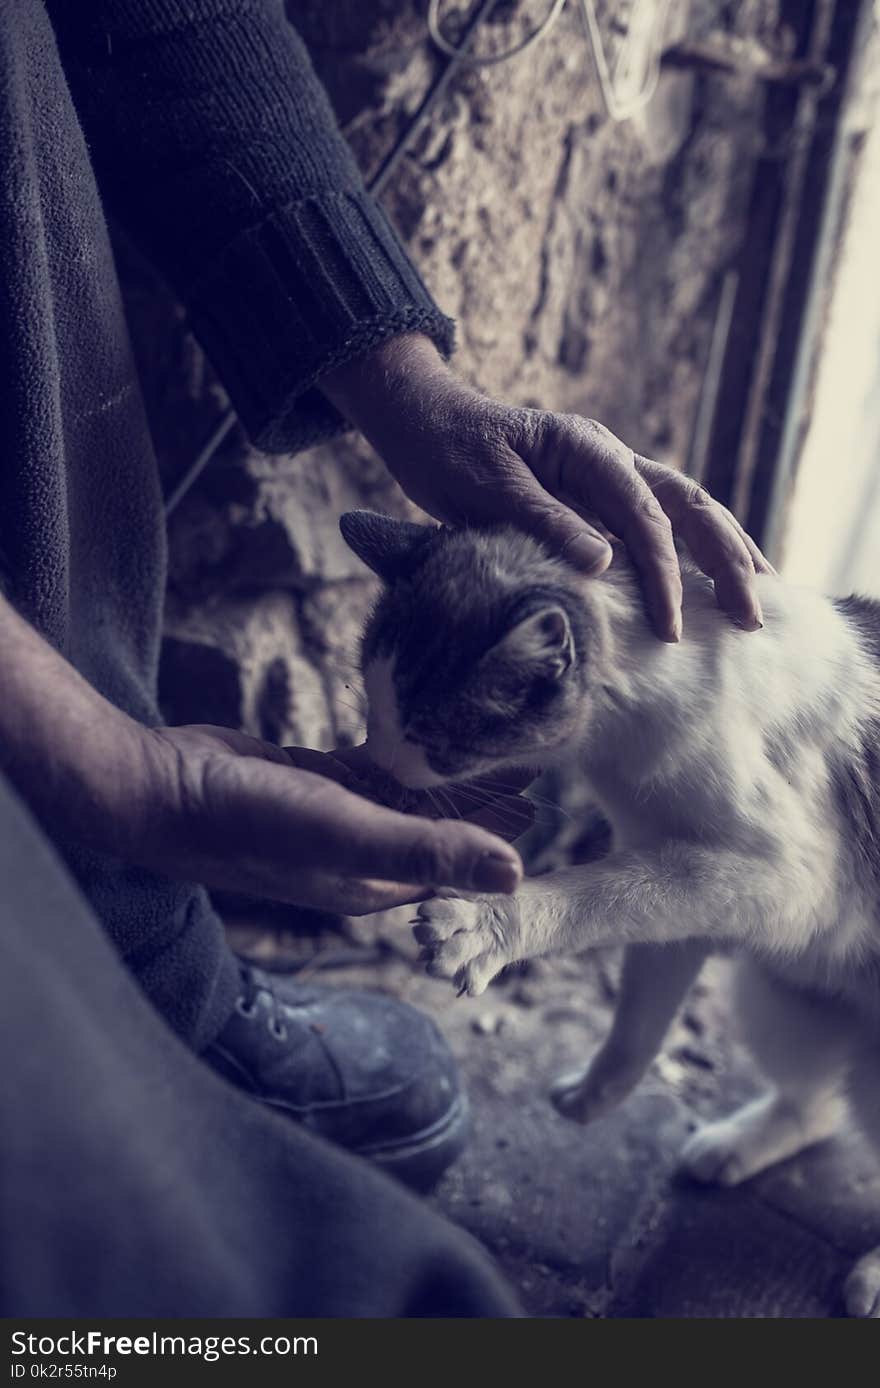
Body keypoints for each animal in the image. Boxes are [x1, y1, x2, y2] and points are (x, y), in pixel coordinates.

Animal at [338, 508, 877, 1310]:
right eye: (373, 706)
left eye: (430, 736)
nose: (376, 764)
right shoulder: (681, 870)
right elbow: (641, 1002)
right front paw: (596, 1095)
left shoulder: (779, 876)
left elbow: (600, 894)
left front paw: (489, 926)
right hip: (781, 999)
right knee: (820, 1105)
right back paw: (733, 1148)